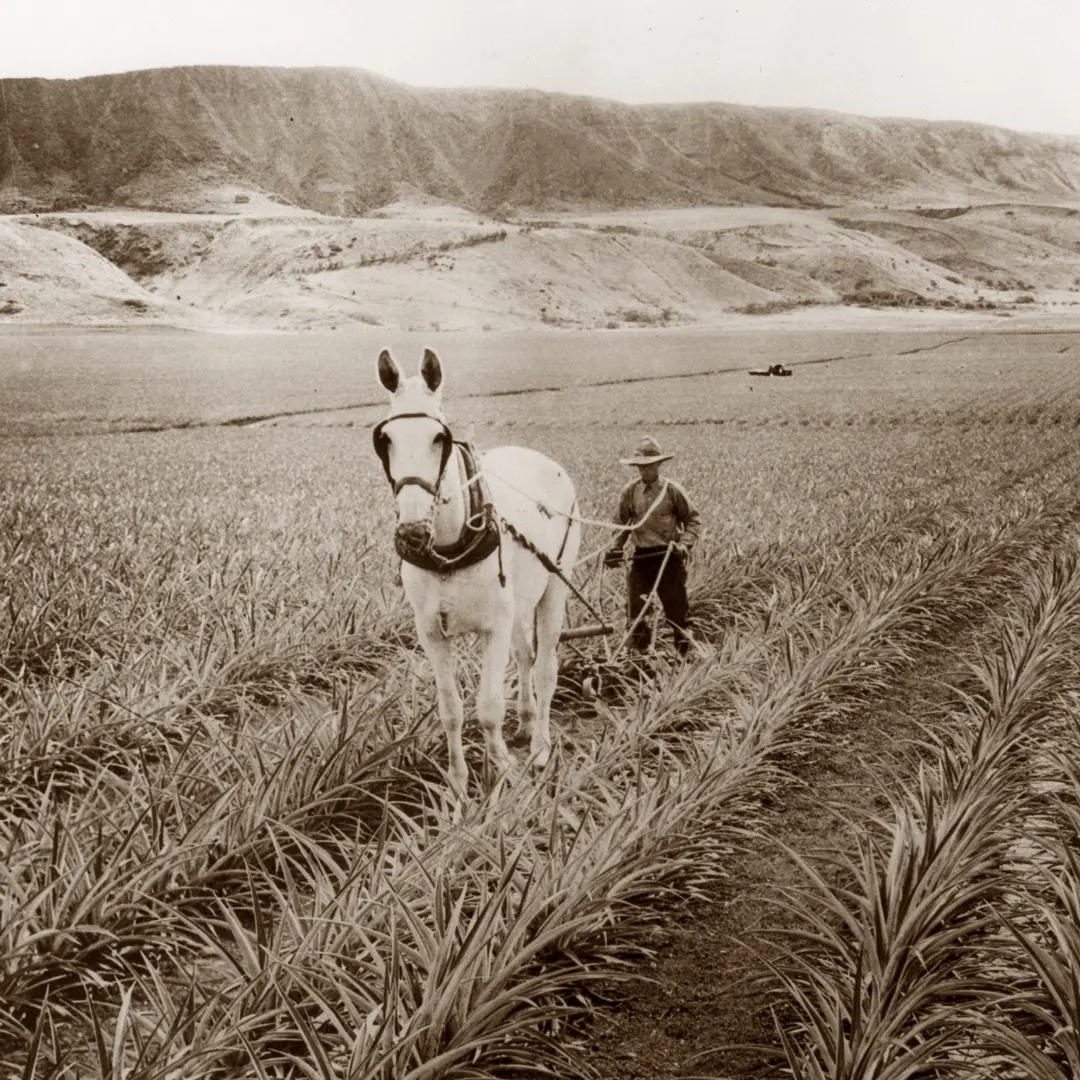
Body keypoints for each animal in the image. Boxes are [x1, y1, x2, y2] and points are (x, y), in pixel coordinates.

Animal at [378, 347, 587, 794]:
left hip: (553, 591)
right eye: (386, 440)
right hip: (520, 602)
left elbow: (489, 707)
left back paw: (541, 747)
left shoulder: (494, 626)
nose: (412, 532)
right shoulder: (431, 633)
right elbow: (451, 709)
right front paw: (458, 782)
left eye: (438, 438)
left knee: (545, 669)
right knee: (525, 655)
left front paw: (502, 769)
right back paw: (525, 723)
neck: (447, 549)